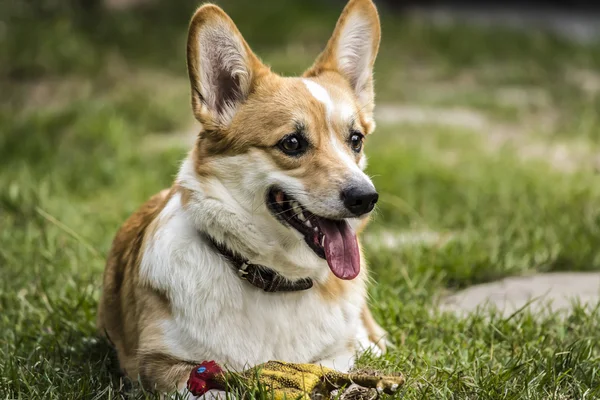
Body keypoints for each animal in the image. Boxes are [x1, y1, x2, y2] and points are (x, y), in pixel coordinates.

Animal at [97, 0, 390, 394]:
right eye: (292, 143)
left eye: (355, 140)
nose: (365, 198)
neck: (275, 280)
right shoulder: (157, 365)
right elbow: (212, 389)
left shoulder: (344, 351)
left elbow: (330, 367)